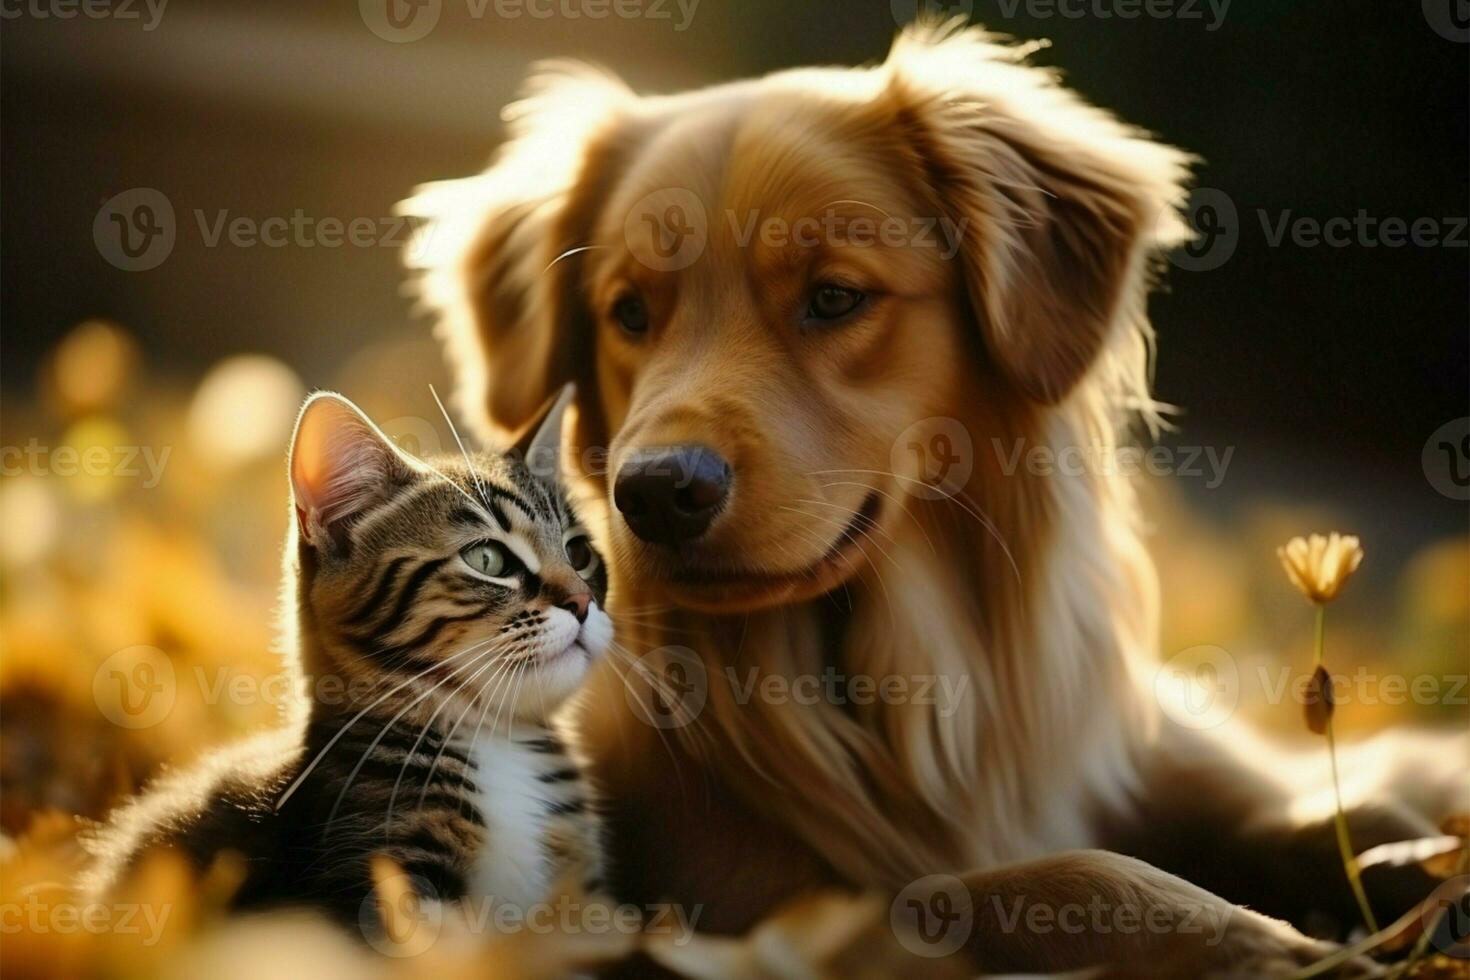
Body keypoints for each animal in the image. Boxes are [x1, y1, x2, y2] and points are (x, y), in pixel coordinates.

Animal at [405, 21, 1470, 975]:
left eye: (835, 297)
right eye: (628, 312)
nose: (657, 492)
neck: (901, 672)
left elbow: (1330, 807)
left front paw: (1417, 875)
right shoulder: (756, 911)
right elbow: (1037, 881)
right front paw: (1274, 945)